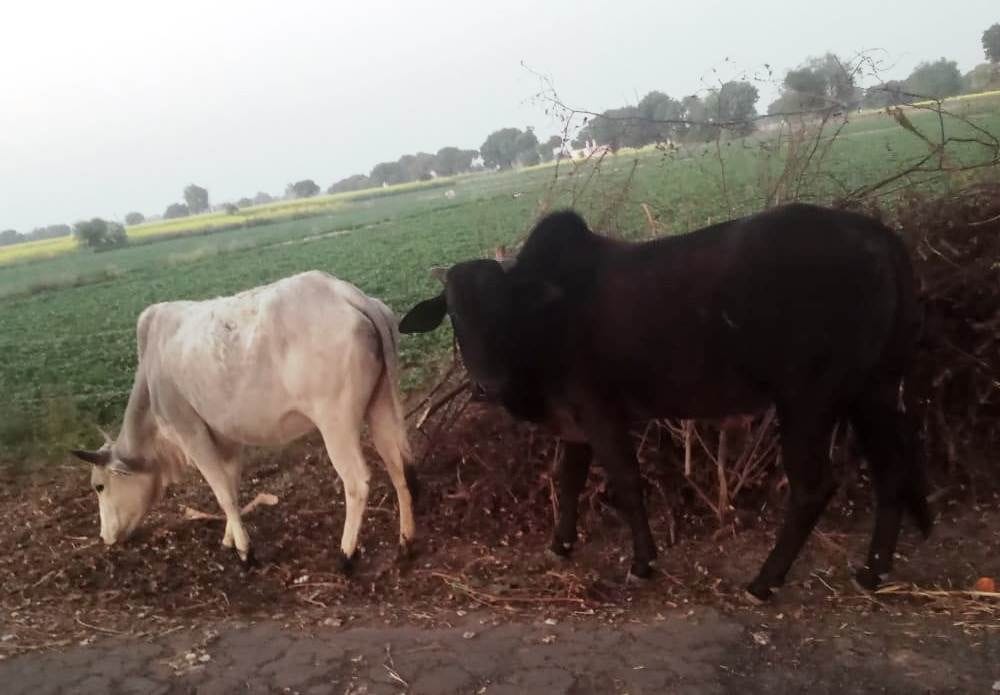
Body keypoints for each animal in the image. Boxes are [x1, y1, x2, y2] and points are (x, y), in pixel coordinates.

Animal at [70, 270, 417, 572]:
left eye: (99, 486)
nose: (106, 537)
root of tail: (346, 293)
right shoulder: (227, 437)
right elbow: (232, 486)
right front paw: (230, 538)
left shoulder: (191, 432)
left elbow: (222, 492)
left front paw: (245, 552)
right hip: (381, 404)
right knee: (396, 463)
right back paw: (406, 540)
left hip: (335, 423)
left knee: (357, 481)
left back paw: (346, 555)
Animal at [398, 203, 932, 602]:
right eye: (455, 315)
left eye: (502, 306)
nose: (485, 385)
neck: (545, 321)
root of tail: (876, 234)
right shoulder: (574, 423)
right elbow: (567, 481)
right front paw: (561, 544)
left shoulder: (601, 411)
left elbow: (626, 483)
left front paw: (642, 561)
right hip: (873, 389)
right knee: (891, 469)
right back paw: (873, 572)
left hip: (808, 401)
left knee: (812, 488)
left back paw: (764, 581)